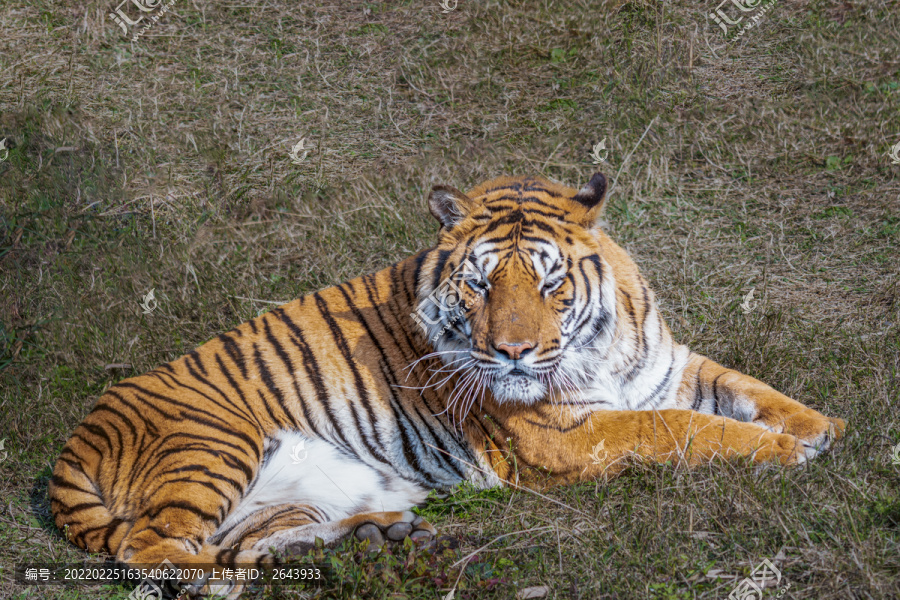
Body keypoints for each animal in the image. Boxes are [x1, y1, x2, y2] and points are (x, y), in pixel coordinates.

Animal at [52, 169, 848, 596]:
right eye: (480, 283)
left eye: (551, 283)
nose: (514, 353)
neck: (601, 346)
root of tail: (68, 451)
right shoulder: (567, 433)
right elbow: (685, 426)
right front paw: (787, 452)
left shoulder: (667, 368)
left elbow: (745, 389)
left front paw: (824, 428)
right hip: (212, 442)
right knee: (149, 550)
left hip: (283, 497)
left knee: (249, 542)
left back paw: (369, 540)